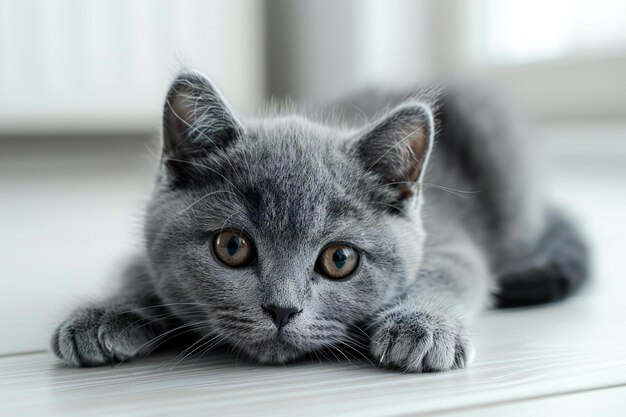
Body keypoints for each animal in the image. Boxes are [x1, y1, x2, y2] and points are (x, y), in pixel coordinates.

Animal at [51, 70, 588, 370]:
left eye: (340, 259)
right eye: (232, 246)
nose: (281, 310)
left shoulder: (452, 241)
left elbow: (452, 272)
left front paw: (423, 325)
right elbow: (137, 274)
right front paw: (106, 314)